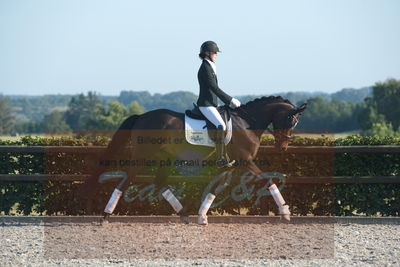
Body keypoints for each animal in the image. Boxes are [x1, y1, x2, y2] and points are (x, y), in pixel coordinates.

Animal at [79, 96, 308, 224]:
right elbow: (268, 180)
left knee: (160, 183)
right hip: (143, 157)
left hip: (165, 158)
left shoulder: (230, 165)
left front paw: (201, 216)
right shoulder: (246, 162)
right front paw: (285, 212)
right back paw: (105, 215)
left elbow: (215, 188)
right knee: (125, 181)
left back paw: (184, 214)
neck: (246, 122)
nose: (282, 147)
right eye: (291, 120)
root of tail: (141, 116)